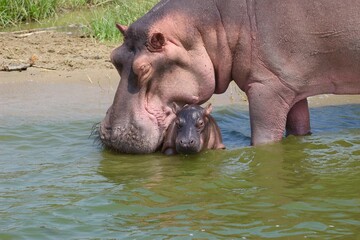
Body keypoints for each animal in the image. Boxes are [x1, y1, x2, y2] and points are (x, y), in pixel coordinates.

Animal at [98, 0, 360, 153]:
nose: (109, 133)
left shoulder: (267, 87)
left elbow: (264, 139)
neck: (215, 25)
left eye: (143, 68)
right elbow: (299, 128)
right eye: (114, 57)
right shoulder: (290, 84)